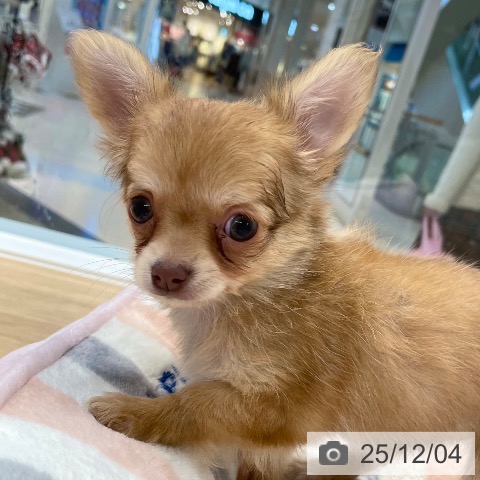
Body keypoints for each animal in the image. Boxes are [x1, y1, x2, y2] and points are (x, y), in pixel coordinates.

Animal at [68, 30, 479, 480]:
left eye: (242, 227)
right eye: (140, 207)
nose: (167, 273)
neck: (259, 295)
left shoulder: (277, 409)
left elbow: (197, 403)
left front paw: (133, 413)